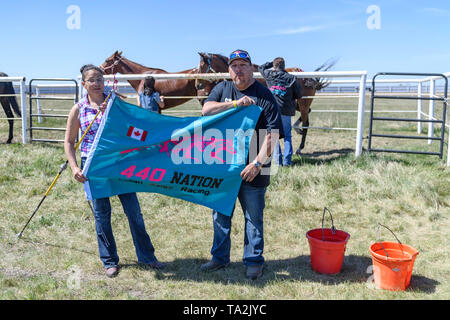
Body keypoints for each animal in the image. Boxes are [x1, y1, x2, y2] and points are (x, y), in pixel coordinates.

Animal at [195, 52, 336, 154]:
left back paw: (299, 147)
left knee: (306, 123)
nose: (197, 85)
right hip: (299, 104)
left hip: (303, 103)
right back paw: (297, 129)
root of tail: (308, 77)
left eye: (202, 66)